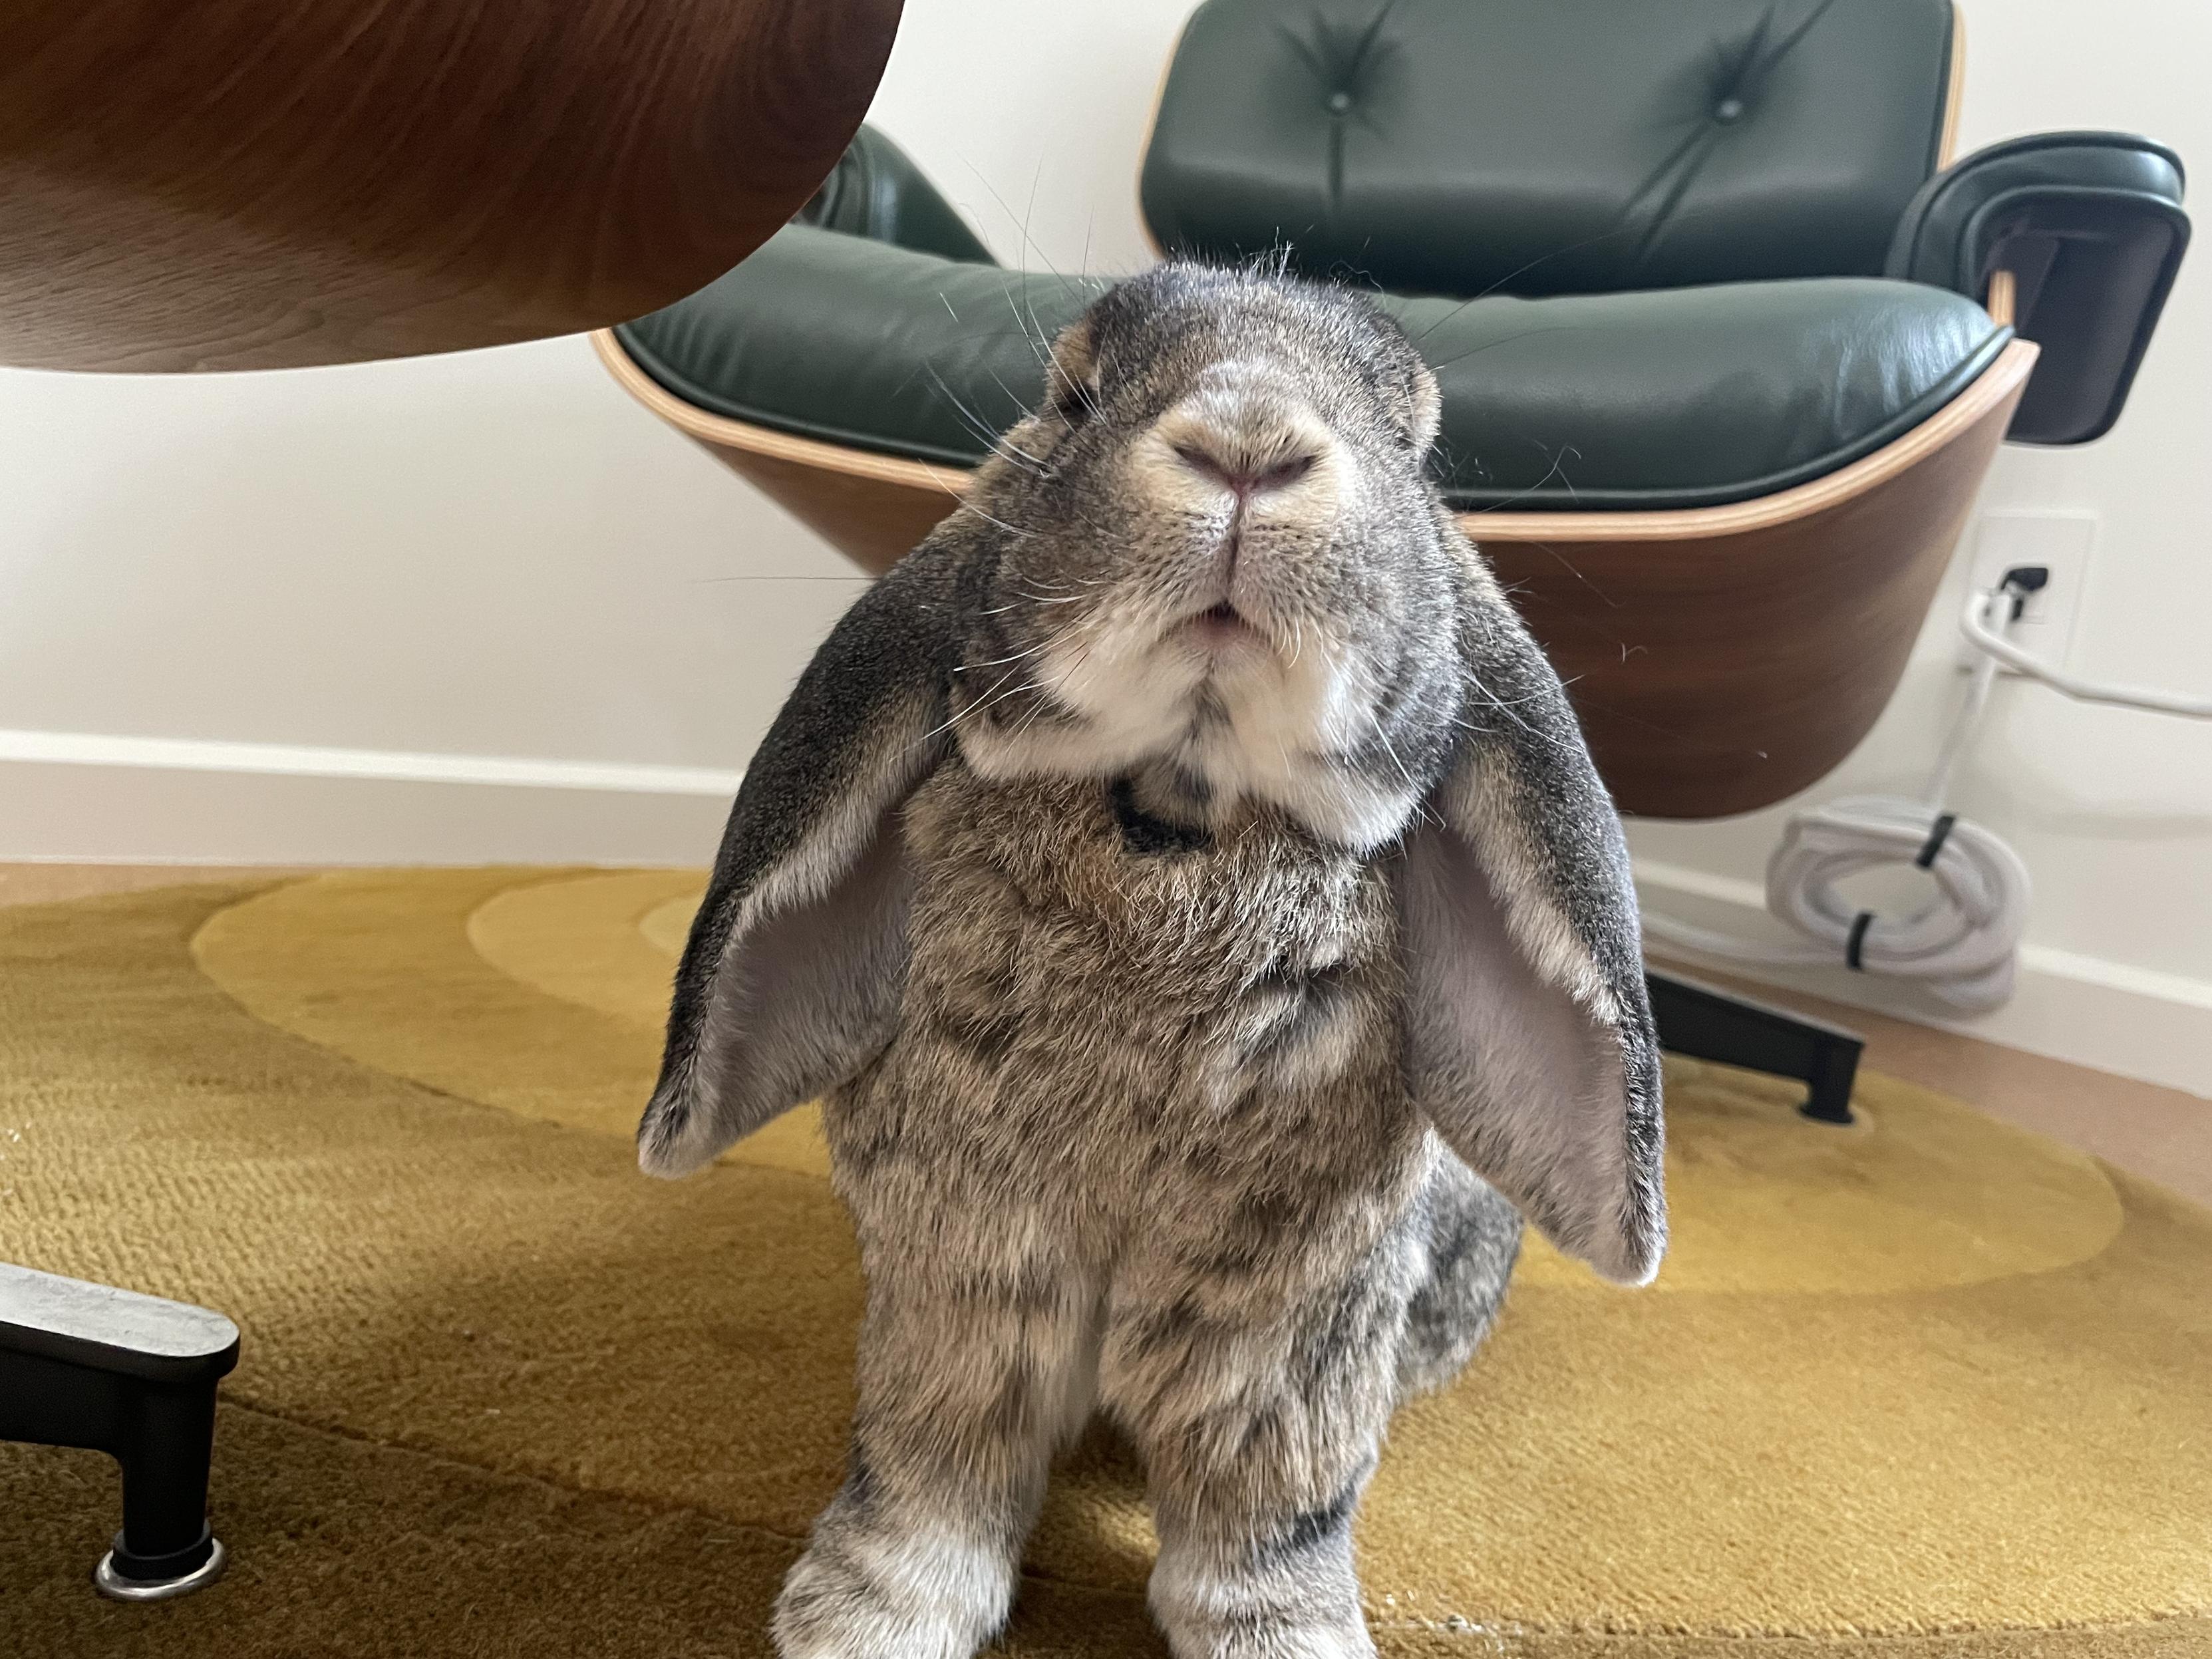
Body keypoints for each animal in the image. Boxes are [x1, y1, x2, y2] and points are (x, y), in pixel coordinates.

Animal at [637, 261, 1665, 1659]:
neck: (1174, 811)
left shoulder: (1288, 1323)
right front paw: (860, 1620)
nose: (1250, 441)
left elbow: (1265, 1514)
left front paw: (1290, 1640)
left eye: (1416, 436)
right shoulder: (966, 1271)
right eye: (1073, 389)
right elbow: (931, 1461)